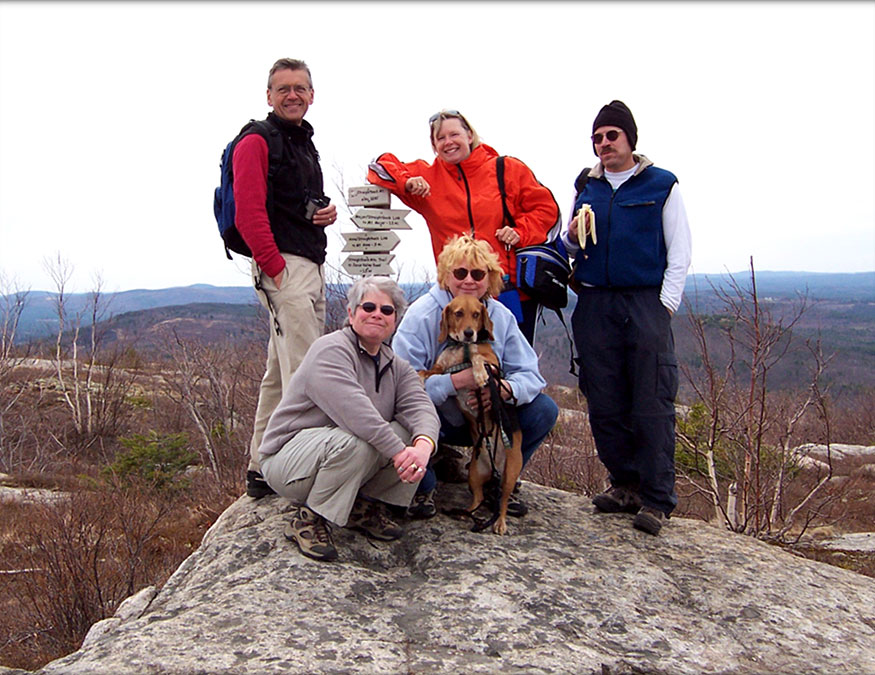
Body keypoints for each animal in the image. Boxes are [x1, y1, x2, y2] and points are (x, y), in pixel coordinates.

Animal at [420, 296, 524, 532]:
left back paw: (500, 522)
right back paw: (464, 513)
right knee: (477, 500)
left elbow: (478, 358)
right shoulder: (440, 368)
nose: (469, 333)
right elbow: (426, 371)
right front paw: (418, 376)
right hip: (474, 475)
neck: (461, 347)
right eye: (458, 313)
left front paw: (478, 375)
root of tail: (494, 466)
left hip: (510, 474)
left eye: (476, 314)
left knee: (503, 502)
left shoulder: (492, 366)